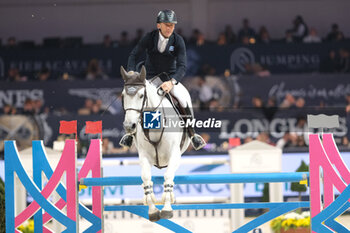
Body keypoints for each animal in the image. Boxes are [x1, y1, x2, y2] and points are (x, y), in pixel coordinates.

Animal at [121, 66, 191, 222]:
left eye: (141, 95)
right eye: (123, 95)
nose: (129, 126)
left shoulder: (174, 155)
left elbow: (168, 177)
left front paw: (166, 209)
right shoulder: (144, 156)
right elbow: (146, 179)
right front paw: (153, 211)